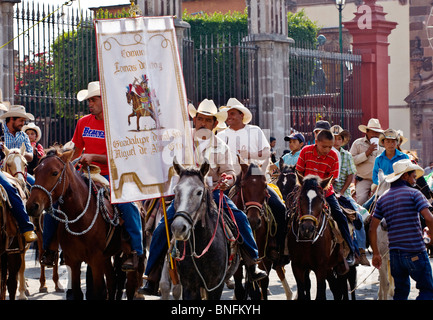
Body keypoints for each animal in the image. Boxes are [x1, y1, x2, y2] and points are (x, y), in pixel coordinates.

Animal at [25, 148, 142, 300]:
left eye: (55, 172)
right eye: (35, 171)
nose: (31, 206)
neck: (80, 218)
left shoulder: (95, 260)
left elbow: (98, 292)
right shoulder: (73, 260)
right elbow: (77, 292)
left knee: (129, 285)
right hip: (107, 256)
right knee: (112, 281)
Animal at [230, 162, 294, 300]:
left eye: (264, 185)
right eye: (243, 185)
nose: (254, 220)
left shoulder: (264, 258)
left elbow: (263, 284)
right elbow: (240, 289)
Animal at [286, 172, 348, 300]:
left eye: (320, 200)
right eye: (300, 198)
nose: (307, 228)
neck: (308, 242)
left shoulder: (321, 267)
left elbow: (320, 294)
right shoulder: (297, 266)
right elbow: (303, 293)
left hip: (339, 265)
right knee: (336, 289)